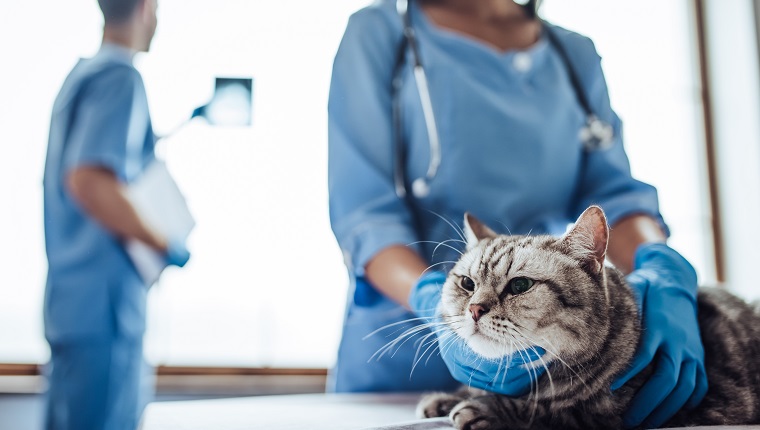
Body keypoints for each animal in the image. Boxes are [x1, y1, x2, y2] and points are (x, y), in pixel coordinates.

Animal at [418, 207, 760, 428]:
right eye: (467, 284)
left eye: (520, 285)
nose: (474, 308)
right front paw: (445, 399)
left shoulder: (626, 414)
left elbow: (550, 412)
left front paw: (484, 408)